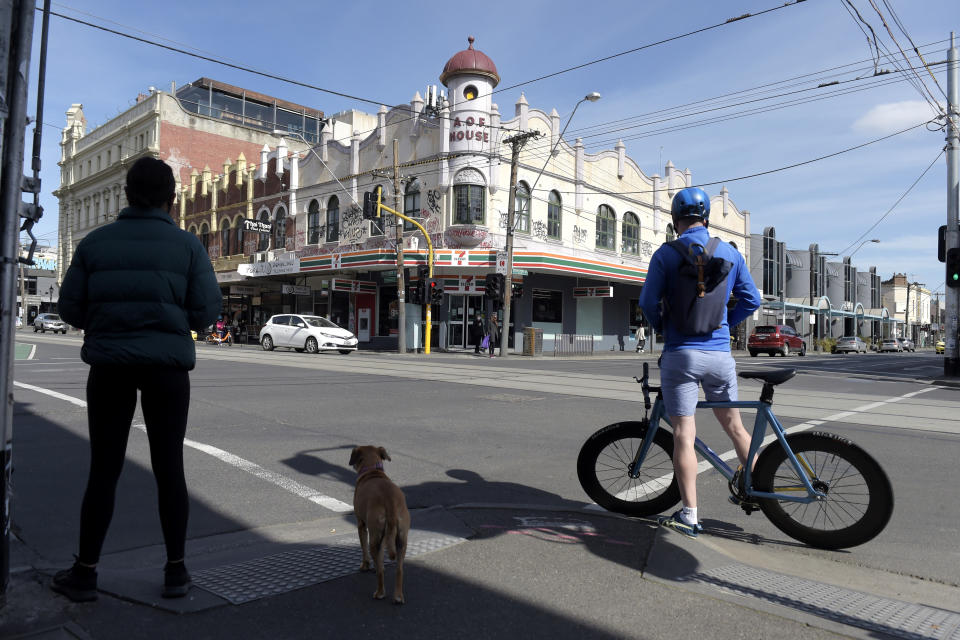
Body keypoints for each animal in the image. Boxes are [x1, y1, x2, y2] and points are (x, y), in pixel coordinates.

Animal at [348, 444, 408, 604]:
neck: (372, 470)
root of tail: (390, 500)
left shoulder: (361, 524)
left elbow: (363, 548)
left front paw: (365, 565)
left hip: (375, 536)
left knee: (379, 571)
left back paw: (380, 592)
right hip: (402, 539)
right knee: (399, 570)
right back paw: (398, 596)